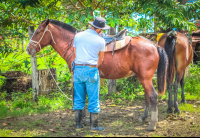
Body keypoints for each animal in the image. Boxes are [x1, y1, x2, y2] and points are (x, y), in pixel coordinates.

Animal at [25, 18, 168, 130]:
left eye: (38, 32)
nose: (28, 49)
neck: (73, 44)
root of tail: (154, 46)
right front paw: (87, 118)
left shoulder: (75, 75)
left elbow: (79, 95)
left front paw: (82, 118)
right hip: (142, 77)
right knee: (147, 96)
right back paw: (143, 118)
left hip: (145, 78)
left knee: (153, 96)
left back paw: (152, 124)